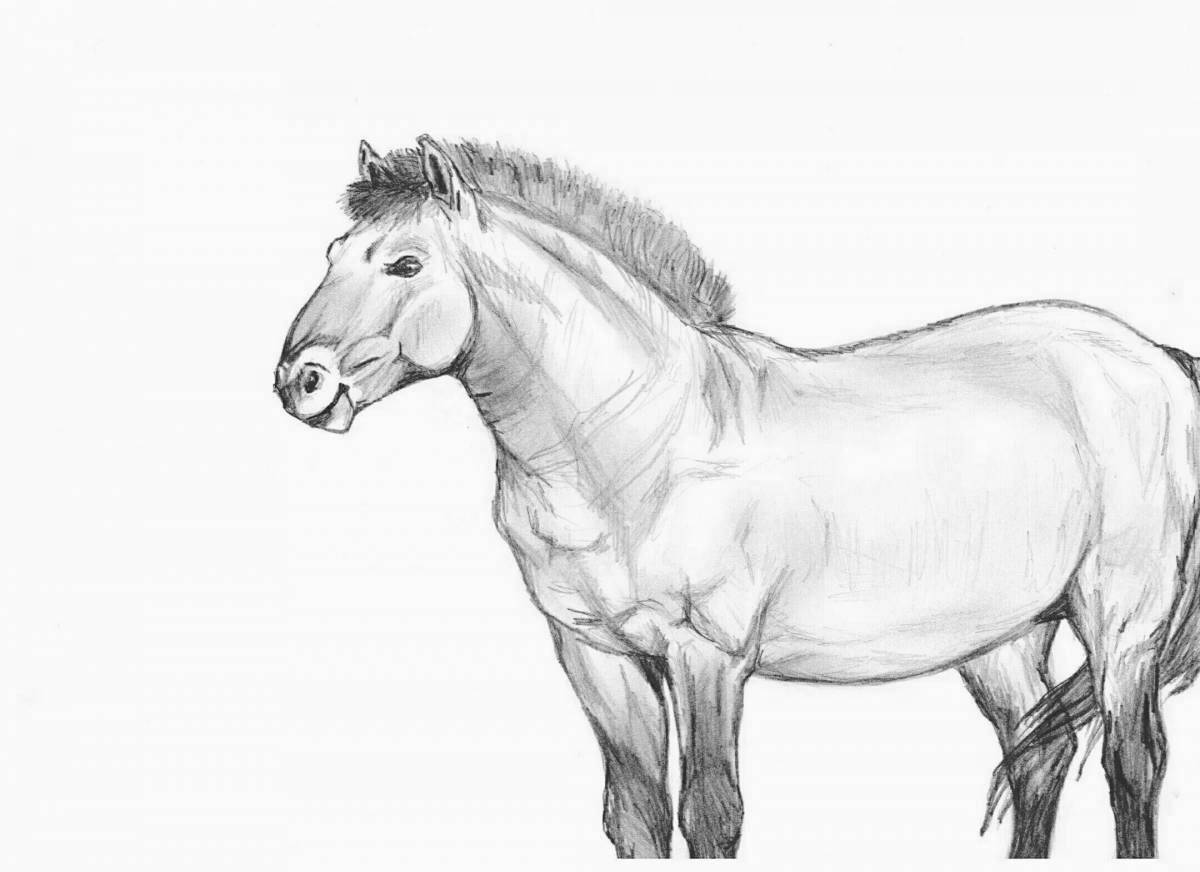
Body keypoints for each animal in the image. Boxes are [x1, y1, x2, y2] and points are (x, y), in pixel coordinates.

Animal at [274, 136, 1200, 859]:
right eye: (331, 254)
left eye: (405, 263)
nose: (301, 383)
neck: (642, 440)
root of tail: (1153, 358)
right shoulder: (596, 656)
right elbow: (635, 816)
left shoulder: (706, 655)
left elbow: (711, 814)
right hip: (1001, 639)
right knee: (1036, 756)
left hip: (1121, 623)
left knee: (1130, 764)